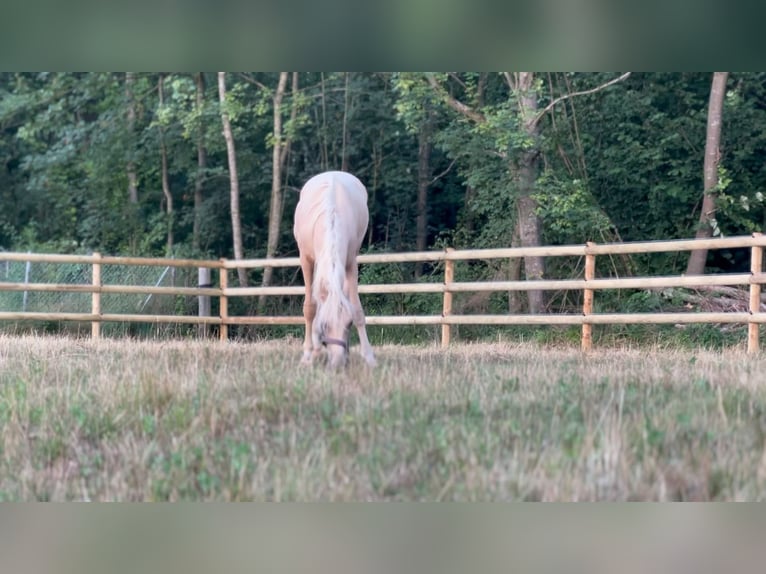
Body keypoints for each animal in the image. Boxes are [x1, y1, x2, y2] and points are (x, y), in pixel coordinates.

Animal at [294, 171, 378, 368]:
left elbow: (357, 310)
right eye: (324, 325)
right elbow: (310, 308)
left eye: (348, 324)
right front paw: (308, 355)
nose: (338, 362)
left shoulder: (350, 263)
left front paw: (369, 357)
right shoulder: (306, 260)